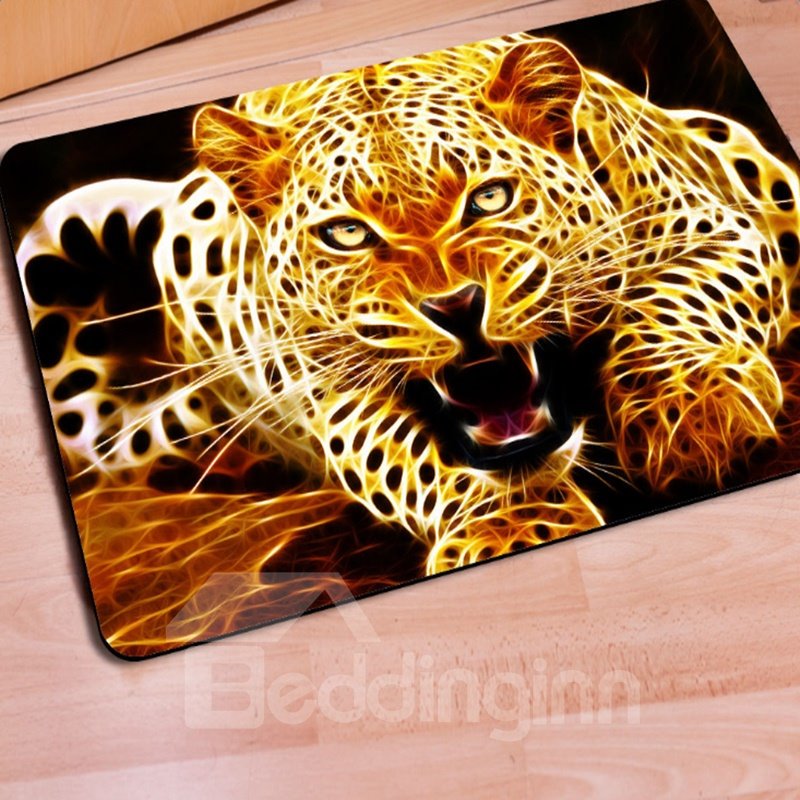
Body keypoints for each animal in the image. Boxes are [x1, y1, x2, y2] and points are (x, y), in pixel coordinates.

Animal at [15, 33, 800, 654]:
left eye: (489, 198)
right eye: (347, 234)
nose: (455, 307)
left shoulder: (713, 226)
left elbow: (671, 307)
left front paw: (694, 414)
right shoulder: (336, 393)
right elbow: (421, 456)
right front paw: (515, 525)